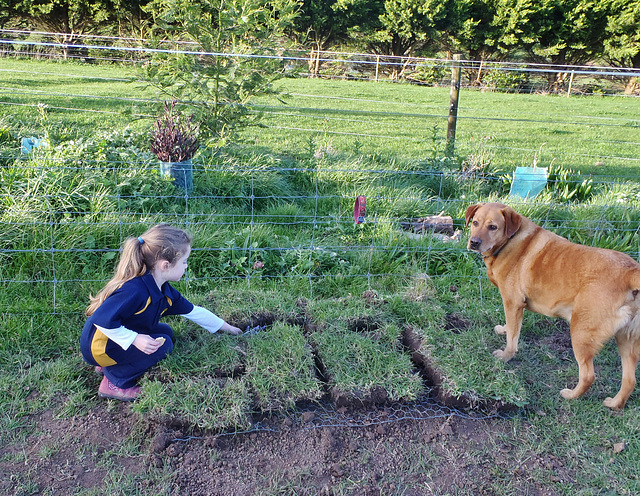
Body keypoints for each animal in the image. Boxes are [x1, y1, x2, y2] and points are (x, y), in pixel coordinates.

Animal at [464, 200, 640, 408]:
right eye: (475, 222)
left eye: (493, 227)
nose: (474, 242)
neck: (510, 241)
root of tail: (630, 272)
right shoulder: (515, 307)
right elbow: (512, 327)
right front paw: (504, 329)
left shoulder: (512, 302)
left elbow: (513, 339)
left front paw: (506, 356)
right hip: (627, 341)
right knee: (630, 380)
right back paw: (614, 404)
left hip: (580, 332)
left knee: (588, 375)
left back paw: (571, 395)